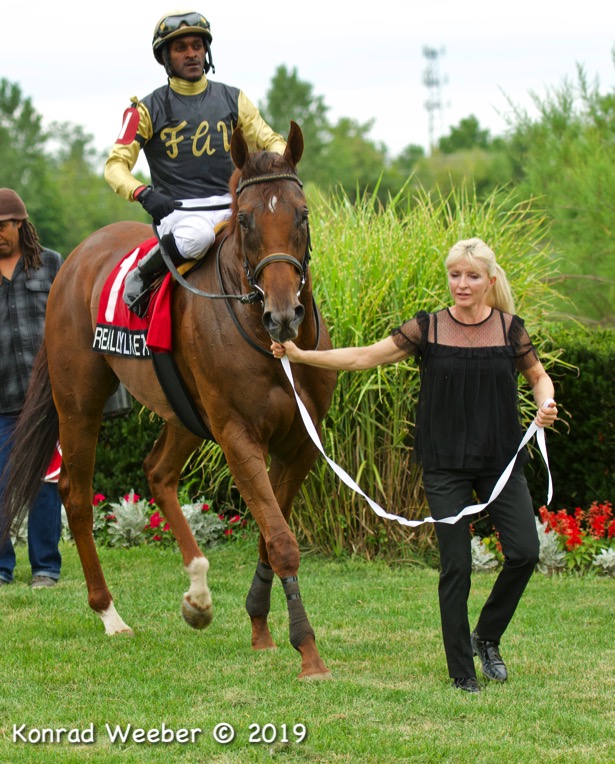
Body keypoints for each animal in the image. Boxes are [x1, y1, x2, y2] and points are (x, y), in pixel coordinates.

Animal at [1, 121, 336, 680]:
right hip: (79, 402)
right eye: (244, 219)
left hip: (183, 414)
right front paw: (307, 651)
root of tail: (74, 257)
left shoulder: (300, 443)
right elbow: (282, 540)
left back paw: (198, 596)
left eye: (303, 214)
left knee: (158, 473)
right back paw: (109, 614)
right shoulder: (238, 434)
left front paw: (260, 627)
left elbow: (271, 534)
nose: (284, 314)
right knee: (75, 492)